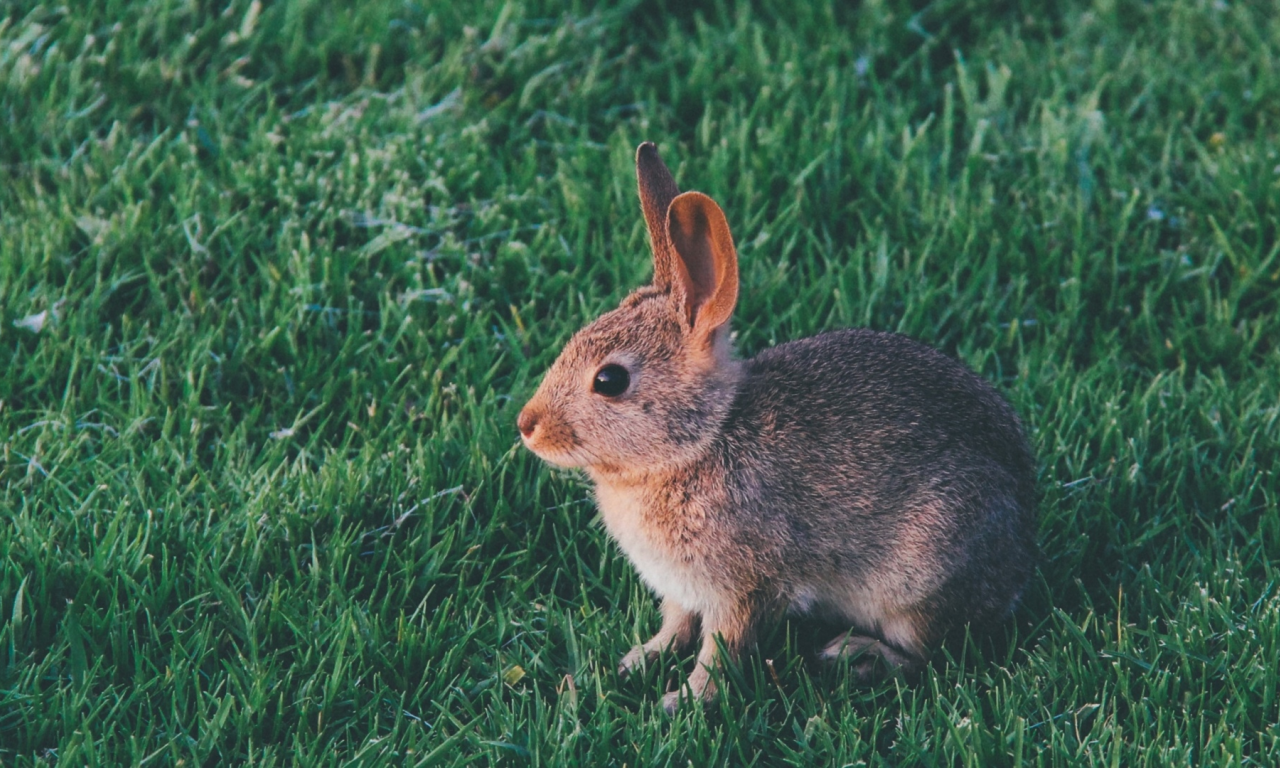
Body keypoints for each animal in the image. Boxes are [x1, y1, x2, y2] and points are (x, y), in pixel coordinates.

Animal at [514, 140, 1034, 711]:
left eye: (609, 380)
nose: (527, 425)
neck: (700, 441)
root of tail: (1021, 553)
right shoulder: (681, 589)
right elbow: (674, 627)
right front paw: (636, 662)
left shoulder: (742, 588)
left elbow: (720, 650)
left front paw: (682, 702)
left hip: (918, 583)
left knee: (926, 653)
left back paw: (854, 655)